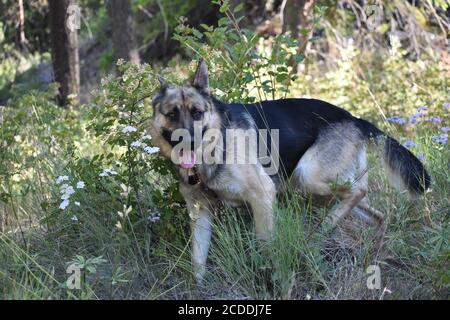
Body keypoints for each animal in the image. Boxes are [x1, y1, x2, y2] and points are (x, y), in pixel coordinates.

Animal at [149, 58, 430, 282]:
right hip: (323, 191)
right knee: (376, 212)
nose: (188, 141)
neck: (218, 143)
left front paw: (267, 276)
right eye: (172, 114)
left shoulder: (262, 195)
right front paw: (198, 287)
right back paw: (373, 246)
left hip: (306, 176)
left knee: (358, 191)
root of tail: (353, 118)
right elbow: (198, 260)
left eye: (197, 113)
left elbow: (264, 244)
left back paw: (320, 233)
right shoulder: (200, 213)